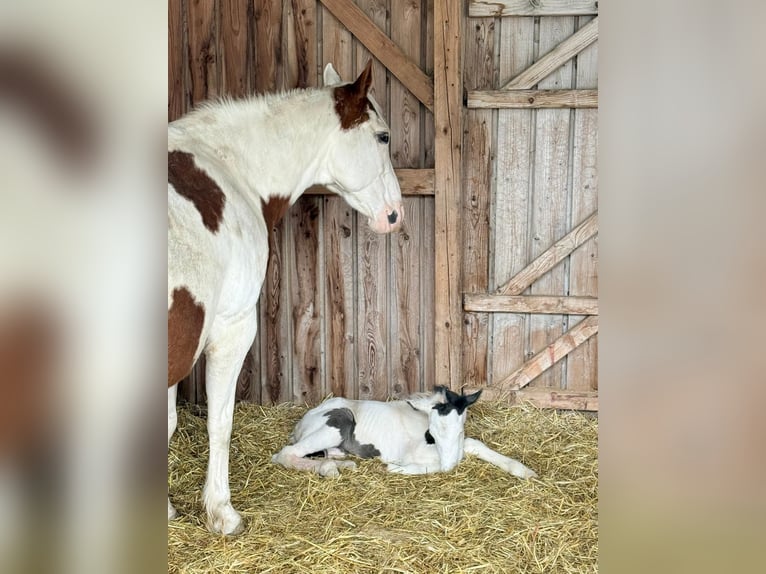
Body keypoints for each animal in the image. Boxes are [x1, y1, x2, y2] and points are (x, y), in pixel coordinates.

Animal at [168, 61, 403, 535]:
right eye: (383, 136)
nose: (395, 214)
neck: (228, 172)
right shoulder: (231, 326)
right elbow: (220, 421)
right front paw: (221, 512)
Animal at [272, 386, 538, 479]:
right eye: (432, 433)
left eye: (460, 429)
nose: (451, 465)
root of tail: (300, 423)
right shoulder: (412, 453)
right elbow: (432, 466)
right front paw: (395, 469)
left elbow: (474, 445)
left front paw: (524, 471)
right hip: (337, 423)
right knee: (285, 454)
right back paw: (329, 470)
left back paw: (342, 465)